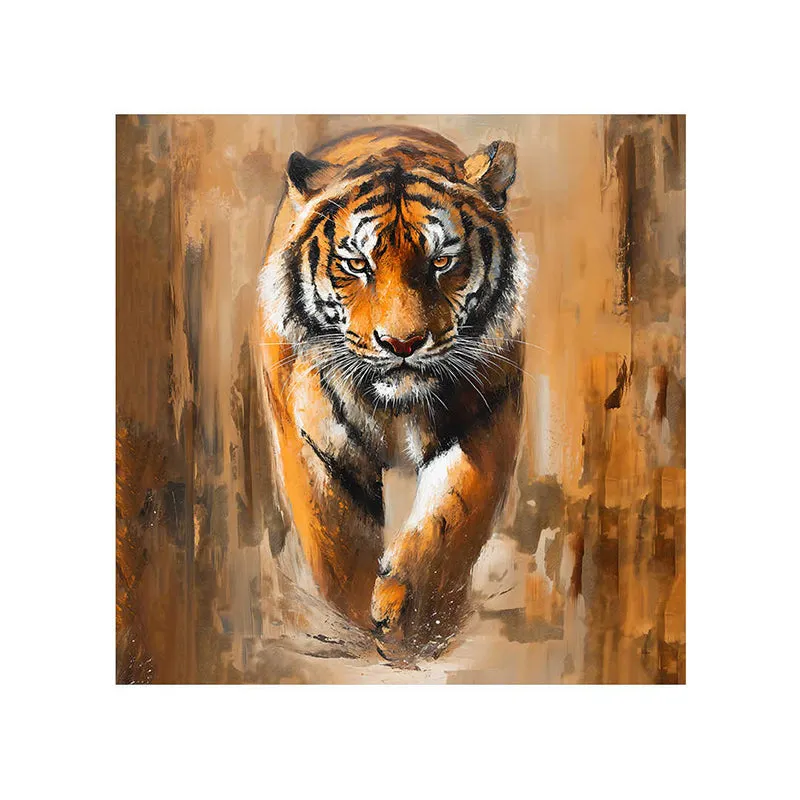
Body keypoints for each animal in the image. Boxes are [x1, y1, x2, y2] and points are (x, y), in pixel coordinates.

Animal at [257, 125, 528, 659]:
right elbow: (339, 546)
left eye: (442, 261)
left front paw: (410, 620)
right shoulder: (316, 445)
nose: (402, 343)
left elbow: (449, 521)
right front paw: (362, 625)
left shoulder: (486, 419)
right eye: (356, 264)